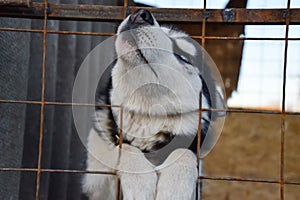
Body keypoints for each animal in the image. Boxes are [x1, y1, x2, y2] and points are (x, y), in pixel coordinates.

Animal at [82, 9, 225, 200]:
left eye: (184, 56)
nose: (141, 14)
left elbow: (184, 152)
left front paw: (174, 187)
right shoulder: (93, 185)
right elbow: (124, 148)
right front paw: (140, 183)